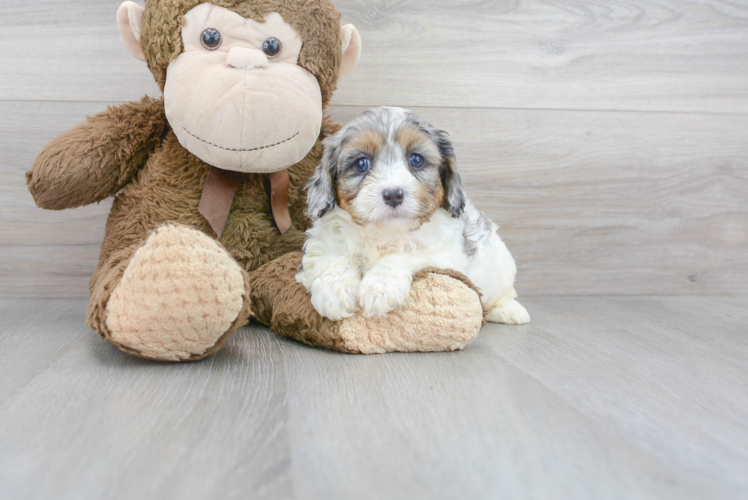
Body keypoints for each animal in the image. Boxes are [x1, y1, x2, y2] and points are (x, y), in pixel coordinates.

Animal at [296, 107, 528, 324]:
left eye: (416, 160)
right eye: (361, 163)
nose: (393, 194)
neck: (383, 233)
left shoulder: (444, 255)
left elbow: (405, 254)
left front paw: (379, 287)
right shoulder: (323, 243)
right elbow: (331, 257)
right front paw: (335, 291)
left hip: (502, 265)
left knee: (502, 294)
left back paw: (509, 311)